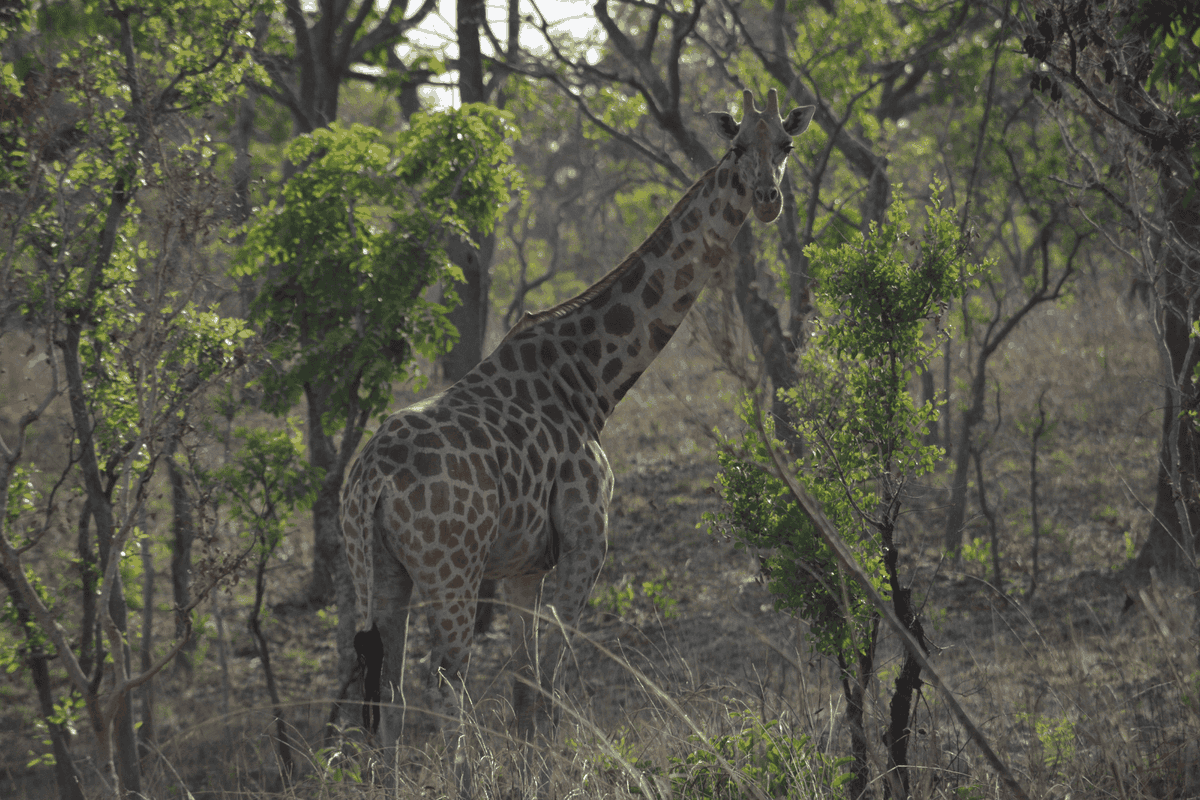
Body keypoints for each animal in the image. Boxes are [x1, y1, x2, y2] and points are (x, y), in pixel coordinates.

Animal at [340, 88, 814, 795]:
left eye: (785, 144)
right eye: (735, 147)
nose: (766, 198)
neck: (592, 378)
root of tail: (370, 479)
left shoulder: (522, 566)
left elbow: (524, 688)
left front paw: (530, 777)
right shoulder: (587, 538)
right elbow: (551, 685)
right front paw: (545, 778)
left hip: (376, 570)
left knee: (392, 688)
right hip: (451, 569)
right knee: (443, 676)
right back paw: (464, 779)